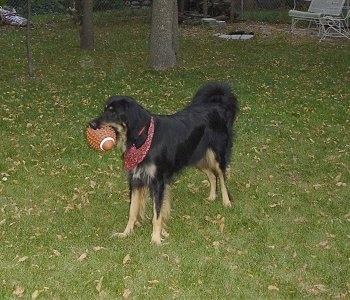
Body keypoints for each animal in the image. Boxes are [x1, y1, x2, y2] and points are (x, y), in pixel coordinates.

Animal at [89, 81, 239, 244]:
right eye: (105, 109)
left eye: (113, 112)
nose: (91, 123)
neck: (142, 138)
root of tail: (216, 106)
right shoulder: (135, 179)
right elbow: (132, 210)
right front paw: (126, 233)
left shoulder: (158, 182)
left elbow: (157, 214)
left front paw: (156, 239)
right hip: (196, 156)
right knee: (212, 175)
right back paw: (212, 196)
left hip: (216, 155)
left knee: (222, 176)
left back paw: (226, 202)